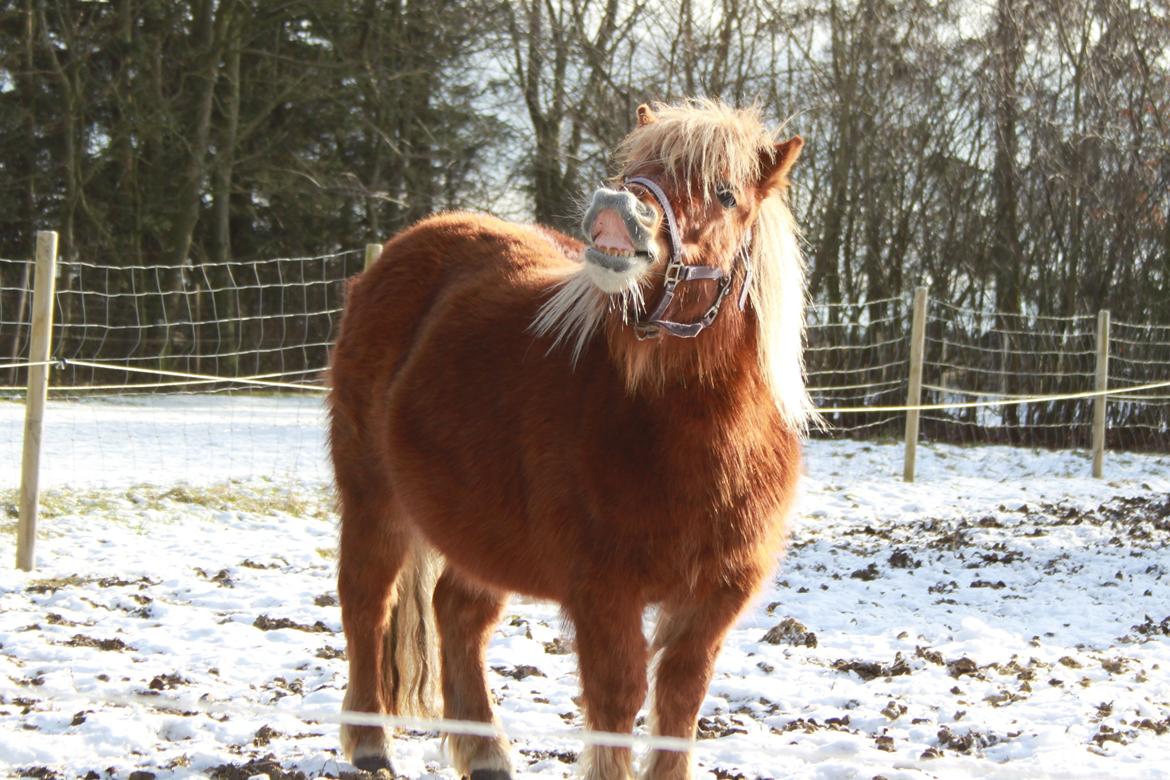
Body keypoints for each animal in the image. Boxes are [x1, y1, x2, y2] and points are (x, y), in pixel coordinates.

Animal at [325, 100, 809, 776]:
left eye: (725, 193)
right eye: (633, 168)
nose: (617, 209)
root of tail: (407, 244)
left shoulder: (716, 596)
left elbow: (681, 698)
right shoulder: (603, 590)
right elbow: (618, 697)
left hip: (480, 528)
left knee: (457, 614)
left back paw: (484, 751)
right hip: (374, 498)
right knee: (367, 601)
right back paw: (370, 742)